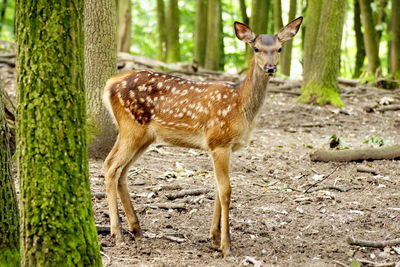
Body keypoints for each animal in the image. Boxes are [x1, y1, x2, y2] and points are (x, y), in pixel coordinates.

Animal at [103, 16, 304, 258]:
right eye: (256, 48)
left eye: (279, 48)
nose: (271, 68)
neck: (241, 105)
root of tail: (110, 84)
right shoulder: (218, 141)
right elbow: (226, 191)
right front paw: (226, 246)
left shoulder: (227, 146)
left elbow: (218, 189)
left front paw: (215, 239)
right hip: (131, 127)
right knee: (110, 166)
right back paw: (117, 234)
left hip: (144, 136)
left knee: (122, 171)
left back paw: (136, 230)